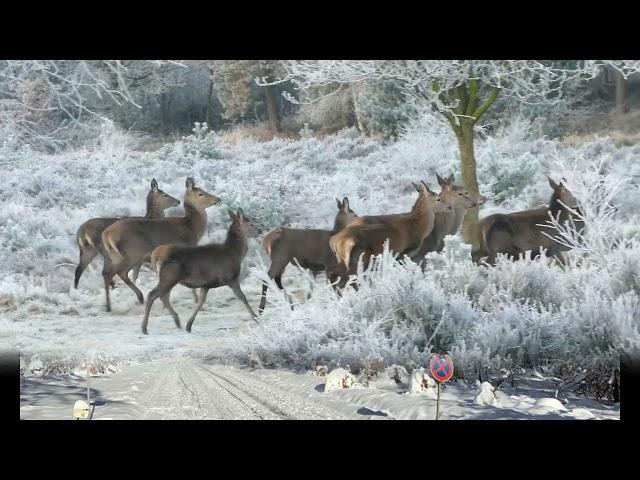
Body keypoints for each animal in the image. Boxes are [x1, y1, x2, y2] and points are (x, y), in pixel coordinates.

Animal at [100, 176, 220, 312]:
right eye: (200, 193)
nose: (218, 199)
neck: (191, 229)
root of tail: (106, 235)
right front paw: (195, 299)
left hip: (114, 257)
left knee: (107, 274)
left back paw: (111, 305)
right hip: (132, 254)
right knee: (120, 273)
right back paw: (138, 298)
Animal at [141, 208, 260, 336]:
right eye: (251, 224)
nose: (260, 231)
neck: (235, 253)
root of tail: (156, 255)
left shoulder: (206, 284)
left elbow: (200, 302)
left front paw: (189, 325)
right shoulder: (230, 278)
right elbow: (242, 297)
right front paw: (256, 317)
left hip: (168, 278)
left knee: (163, 296)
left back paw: (177, 322)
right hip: (169, 276)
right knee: (153, 295)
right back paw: (144, 328)